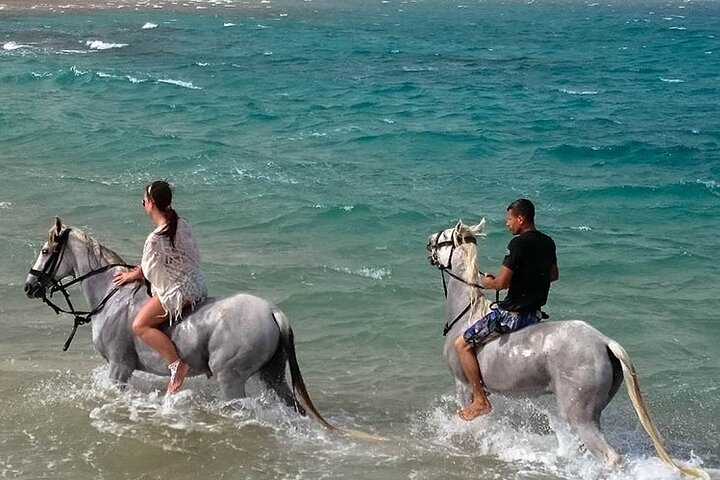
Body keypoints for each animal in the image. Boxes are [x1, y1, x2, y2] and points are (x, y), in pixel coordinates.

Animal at [25, 218, 334, 432]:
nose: (29, 287)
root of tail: (272, 311)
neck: (113, 296)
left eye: (45, 251)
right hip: (272, 376)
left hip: (231, 378)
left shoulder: (119, 367)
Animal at [424, 219, 704, 478]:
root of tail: (604, 341)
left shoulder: (463, 384)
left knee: (610, 456)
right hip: (593, 412)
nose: (427, 242)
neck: (467, 314)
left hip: (578, 414)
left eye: (444, 238)